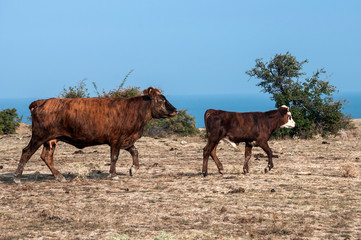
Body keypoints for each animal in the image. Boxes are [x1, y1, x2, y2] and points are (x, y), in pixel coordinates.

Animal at [14, 87, 177, 183]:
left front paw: (133, 169)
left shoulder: (126, 140)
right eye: (161, 100)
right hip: (39, 136)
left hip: (51, 140)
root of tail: (42, 102)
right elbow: (114, 157)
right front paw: (114, 175)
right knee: (26, 152)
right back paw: (17, 177)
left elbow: (135, 151)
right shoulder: (116, 139)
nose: (175, 110)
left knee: (46, 157)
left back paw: (60, 177)